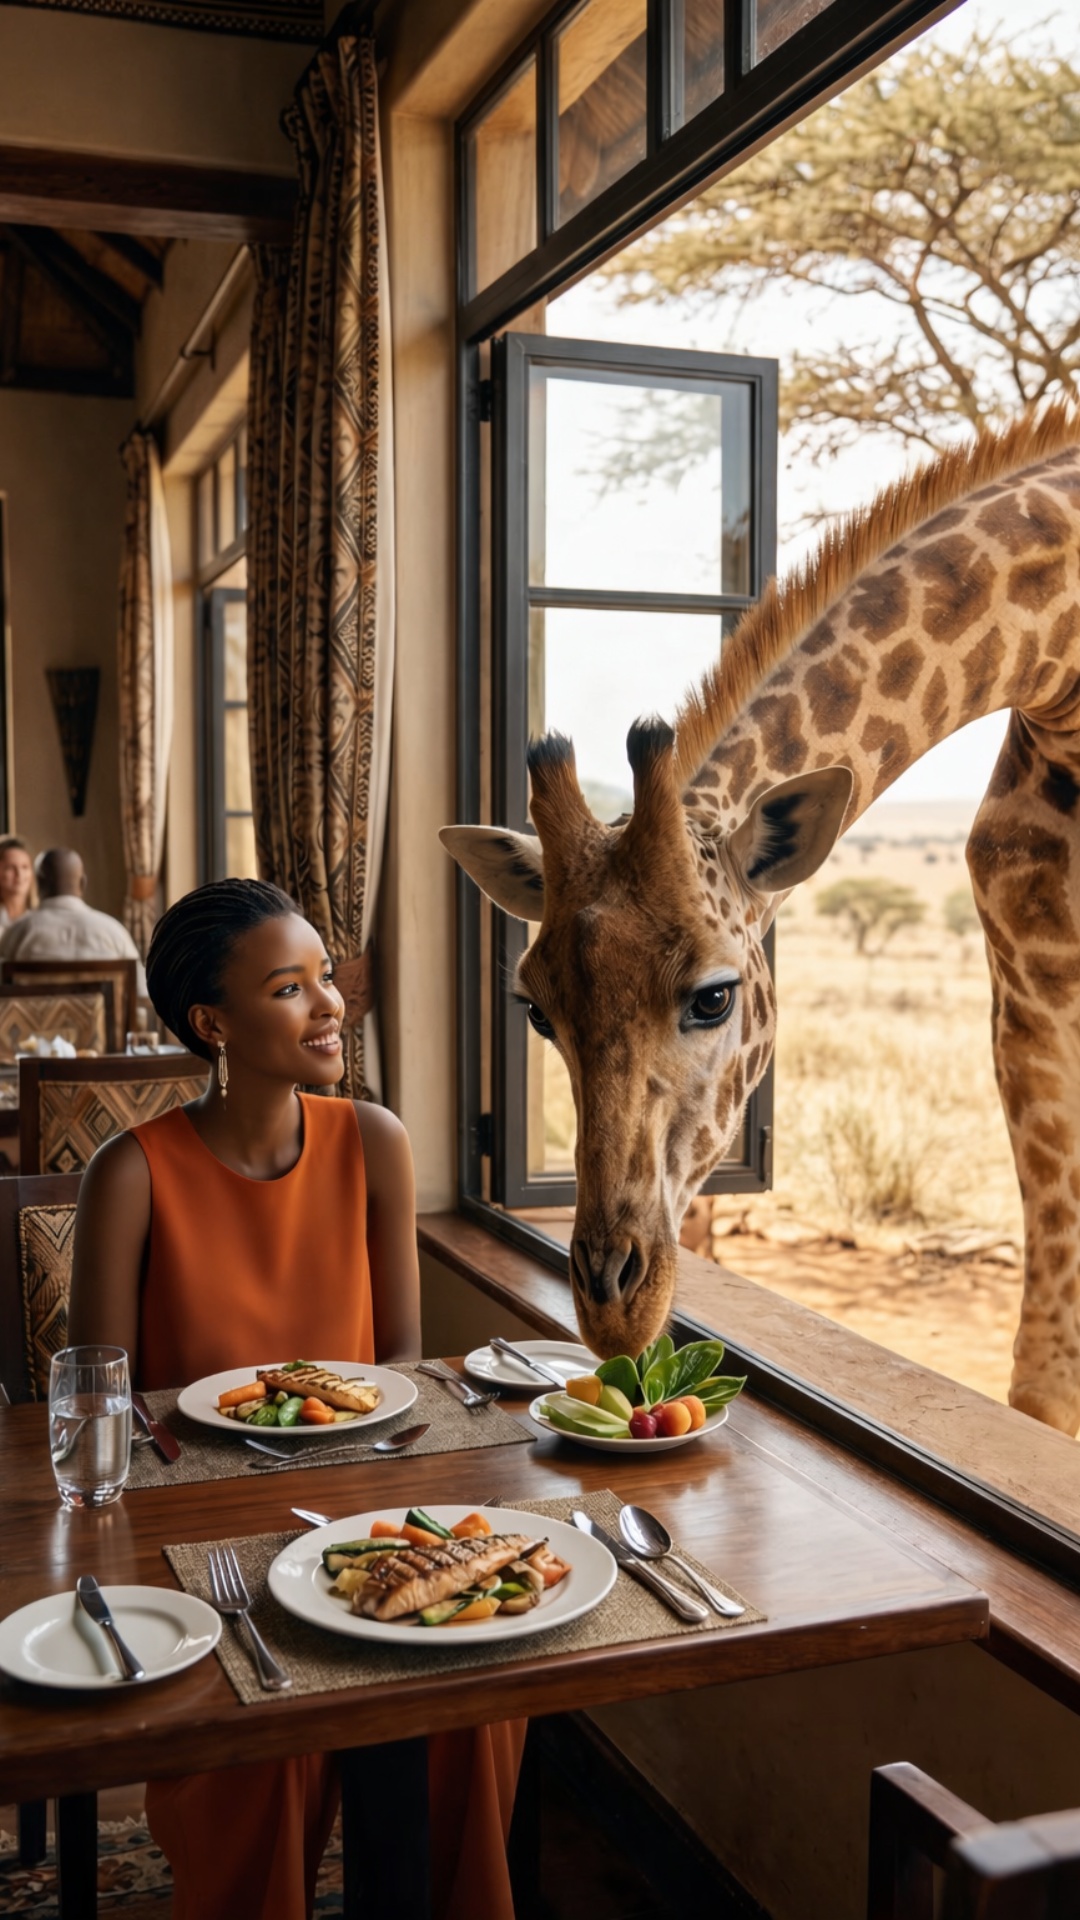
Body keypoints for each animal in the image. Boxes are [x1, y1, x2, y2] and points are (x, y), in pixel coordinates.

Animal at [442, 403, 1080, 1435]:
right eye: (537, 1012)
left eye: (714, 997)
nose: (612, 1303)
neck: (1059, 658)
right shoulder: (1032, 991)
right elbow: (1044, 1371)